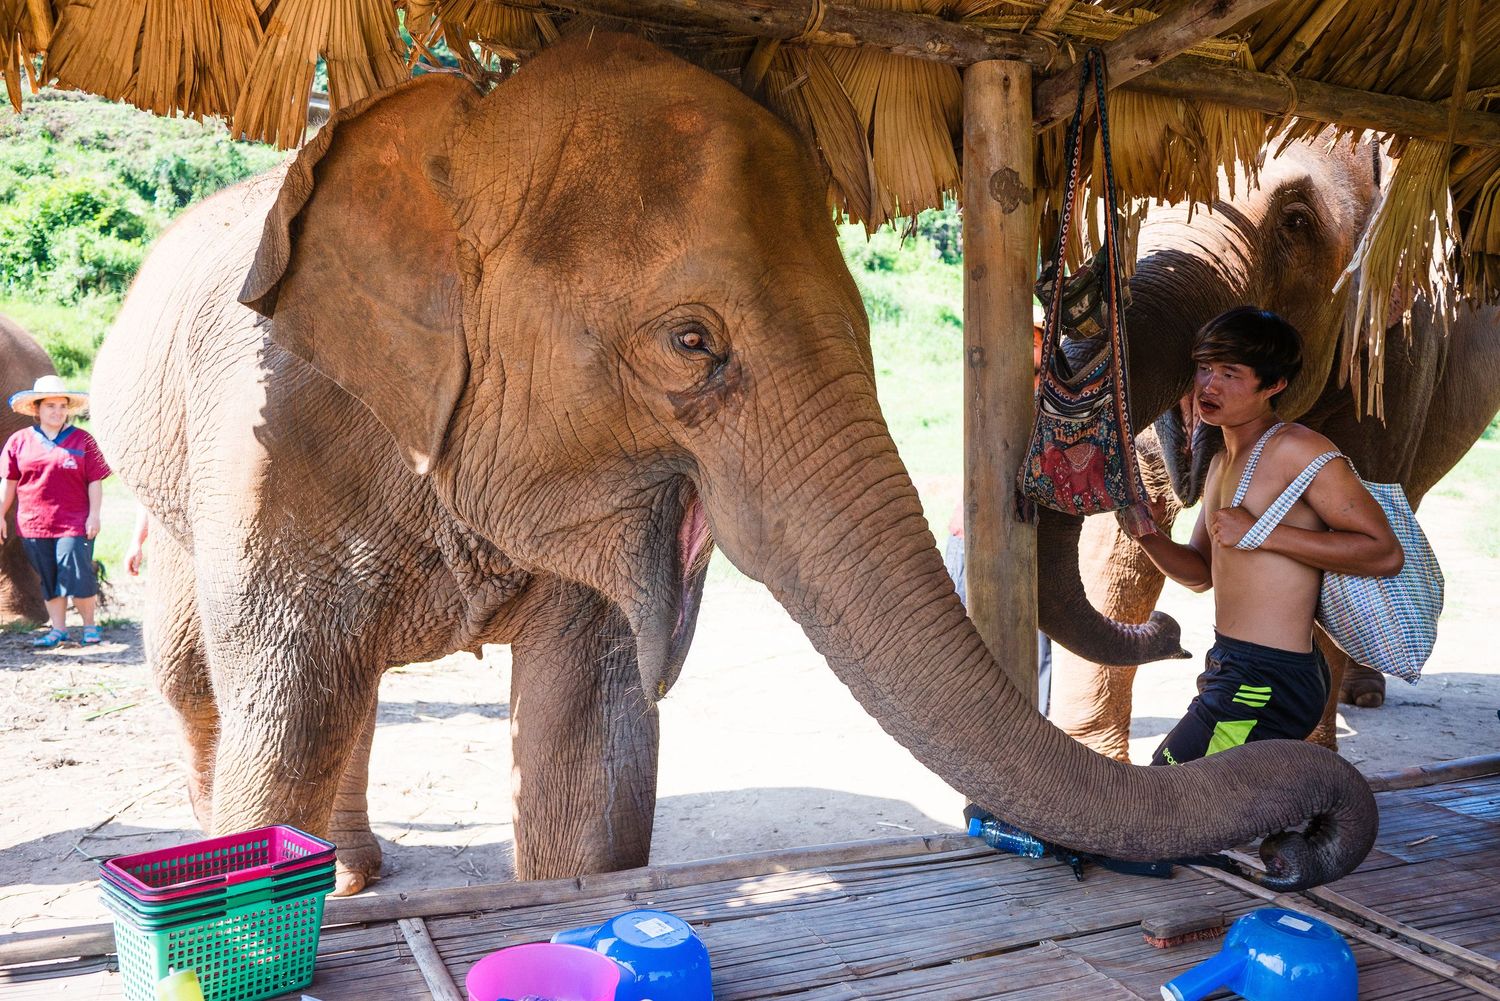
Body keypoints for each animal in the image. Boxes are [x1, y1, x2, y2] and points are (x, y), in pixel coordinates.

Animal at [92, 32, 1376, 897]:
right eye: (690, 343)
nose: (1302, 840)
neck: (455, 133)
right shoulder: (274, 430)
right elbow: (287, 709)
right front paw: (255, 860)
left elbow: (588, 759)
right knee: (209, 681)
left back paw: (352, 871)